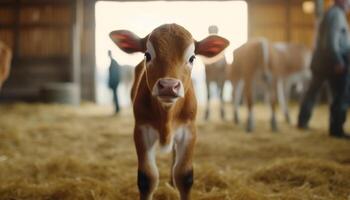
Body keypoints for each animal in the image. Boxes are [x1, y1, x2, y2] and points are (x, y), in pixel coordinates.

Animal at [110, 23, 230, 200]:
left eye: (192, 58)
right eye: (147, 55)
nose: (168, 86)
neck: (167, 114)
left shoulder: (189, 131)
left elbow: (184, 176)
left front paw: (177, 181)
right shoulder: (141, 130)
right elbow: (147, 177)